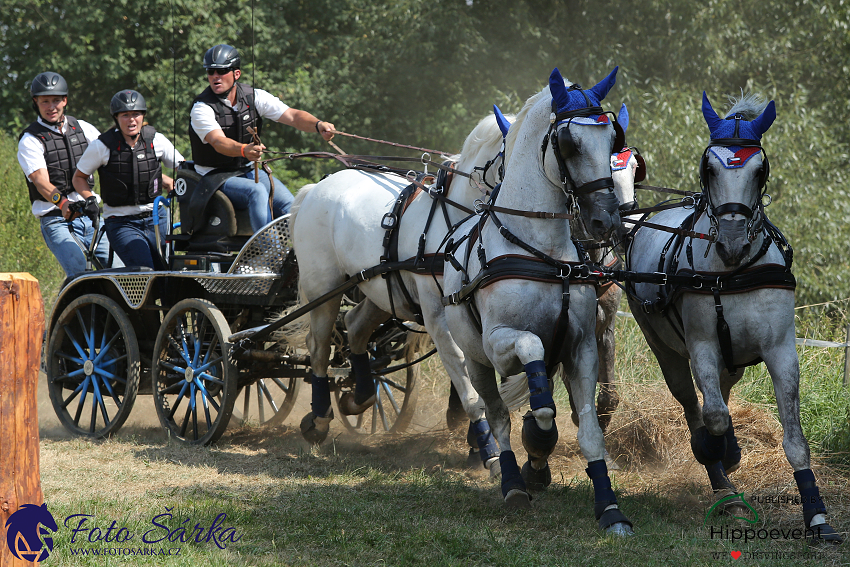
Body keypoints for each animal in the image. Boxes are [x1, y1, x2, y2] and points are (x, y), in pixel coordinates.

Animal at [292, 110, 512, 470]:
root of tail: (315, 189)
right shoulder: (438, 315)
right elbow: (465, 371)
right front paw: (486, 447)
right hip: (324, 288)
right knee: (320, 348)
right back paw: (319, 419)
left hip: (378, 288)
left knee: (354, 327)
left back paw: (361, 396)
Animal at [440, 67, 632, 536]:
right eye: (569, 143)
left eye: (612, 139)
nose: (607, 220)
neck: (543, 253)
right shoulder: (499, 343)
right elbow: (533, 359)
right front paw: (538, 441)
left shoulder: (583, 345)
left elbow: (589, 427)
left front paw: (609, 508)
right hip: (476, 360)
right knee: (496, 415)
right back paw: (512, 482)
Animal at [624, 91, 840, 544]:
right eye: (709, 166)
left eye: (760, 169)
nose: (733, 240)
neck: (734, 270)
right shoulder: (702, 346)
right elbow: (716, 416)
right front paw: (718, 454)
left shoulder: (781, 351)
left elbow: (795, 440)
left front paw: (817, 516)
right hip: (664, 346)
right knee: (695, 403)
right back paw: (721, 477)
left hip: (733, 358)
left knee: (721, 389)